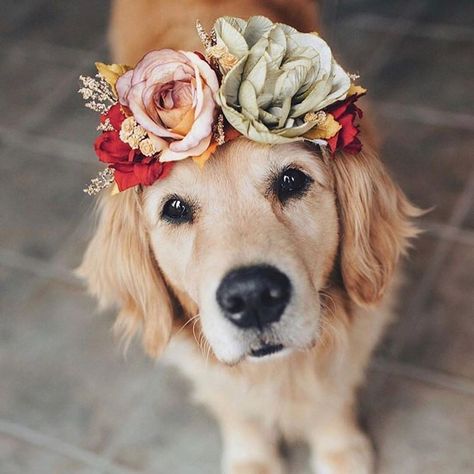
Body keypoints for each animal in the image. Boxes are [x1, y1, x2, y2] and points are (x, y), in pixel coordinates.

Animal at [78, 1, 418, 472]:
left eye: (292, 180)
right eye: (175, 209)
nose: (252, 295)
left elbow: (332, 391)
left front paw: (338, 447)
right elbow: (234, 405)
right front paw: (252, 457)